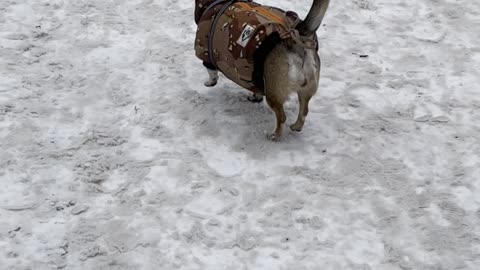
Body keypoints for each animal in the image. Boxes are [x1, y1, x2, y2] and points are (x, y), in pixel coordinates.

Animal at [195, 1, 330, 141]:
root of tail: (293, 40)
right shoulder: (255, 74)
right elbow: (256, 88)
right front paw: (255, 97)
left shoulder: (206, 55)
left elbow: (211, 73)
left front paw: (209, 83)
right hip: (306, 90)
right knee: (304, 111)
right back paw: (296, 126)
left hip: (273, 92)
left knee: (282, 116)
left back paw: (275, 135)